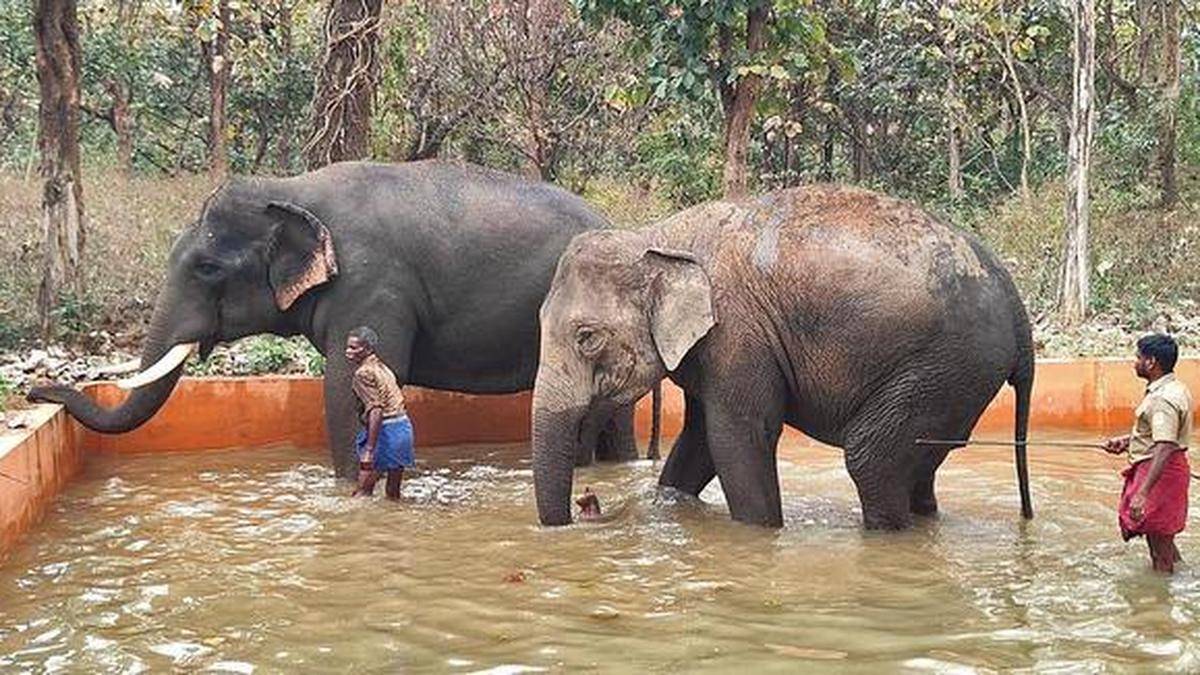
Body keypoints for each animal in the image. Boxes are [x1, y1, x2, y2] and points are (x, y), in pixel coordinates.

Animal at [530, 184, 1034, 529]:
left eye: (587, 337)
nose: (587, 503)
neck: (656, 236)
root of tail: (1017, 305)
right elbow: (698, 439)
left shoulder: (737, 334)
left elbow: (737, 438)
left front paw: (760, 532)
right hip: (956, 381)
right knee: (920, 467)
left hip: (945, 366)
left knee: (872, 461)